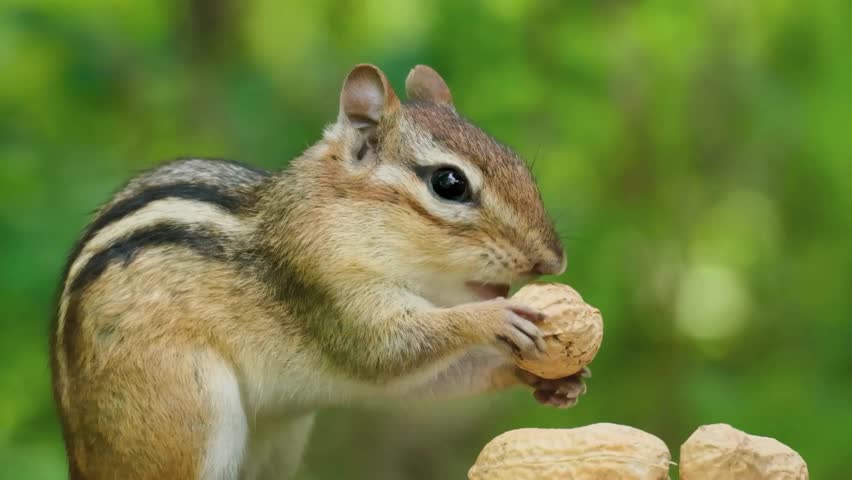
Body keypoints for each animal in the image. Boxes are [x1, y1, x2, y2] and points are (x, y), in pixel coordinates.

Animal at [51, 64, 587, 480]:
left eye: (519, 164)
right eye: (449, 183)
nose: (552, 261)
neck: (339, 216)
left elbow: (432, 377)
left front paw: (553, 379)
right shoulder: (323, 284)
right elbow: (386, 348)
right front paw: (493, 319)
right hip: (183, 414)